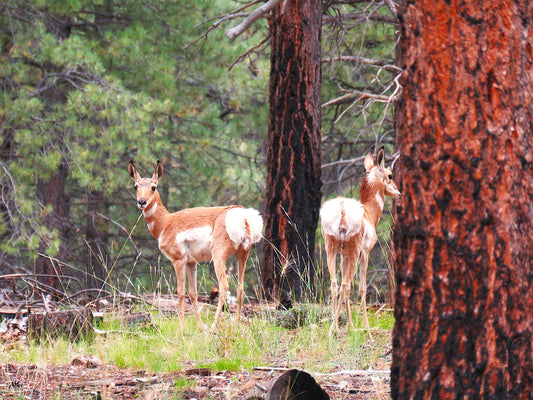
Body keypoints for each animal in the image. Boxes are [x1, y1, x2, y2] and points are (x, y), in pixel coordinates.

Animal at [128, 161, 262, 330]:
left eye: (153, 186)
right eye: (135, 186)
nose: (142, 202)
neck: (166, 223)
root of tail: (244, 216)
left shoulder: (178, 260)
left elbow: (180, 292)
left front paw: (182, 328)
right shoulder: (191, 262)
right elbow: (193, 293)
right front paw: (200, 326)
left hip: (218, 255)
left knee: (224, 287)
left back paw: (213, 327)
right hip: (242, 254)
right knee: (240, 288)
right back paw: (236, 325)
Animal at [316, 148, 400, 330]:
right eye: (390, 175)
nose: (398, 192)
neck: (369, 212)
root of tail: (342, 209)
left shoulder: (344, 255)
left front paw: (350, 324)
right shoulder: (364, 254)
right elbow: (361, 288)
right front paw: (365, 326)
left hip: (331, 249)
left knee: (335, 284)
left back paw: (334, 326)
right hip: (354, 252)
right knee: (346, 285)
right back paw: (335, 327)